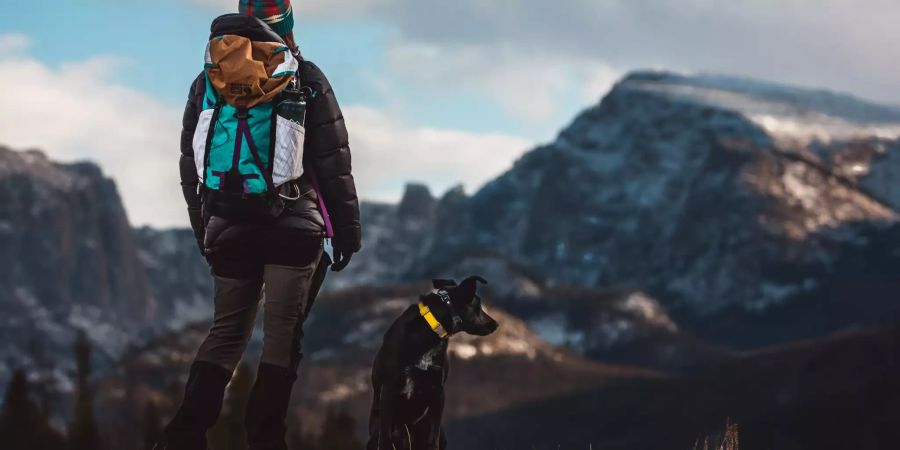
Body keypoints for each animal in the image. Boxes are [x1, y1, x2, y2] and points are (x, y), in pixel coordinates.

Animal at [366, 276, 500, 448]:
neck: (430, 332)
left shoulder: (438, 392)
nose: (496, 325)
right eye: (478, 306)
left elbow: (432, 437)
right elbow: (385, 438)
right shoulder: (388, 388)